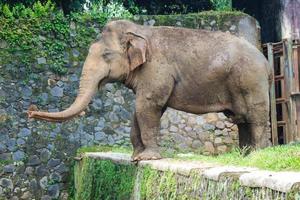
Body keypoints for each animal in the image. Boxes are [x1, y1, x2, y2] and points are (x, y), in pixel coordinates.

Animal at [29, 19, 274, 161]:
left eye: (106, 55)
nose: (30, 111)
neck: (139, 31)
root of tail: (267, 63)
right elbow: (138, 109)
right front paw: (135, 158)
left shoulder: (157, 68)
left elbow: (148, 105)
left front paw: (147, 158)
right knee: (242, 119)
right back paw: (244, 156)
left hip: (252, 80)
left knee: (256, 117)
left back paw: (257, 156)